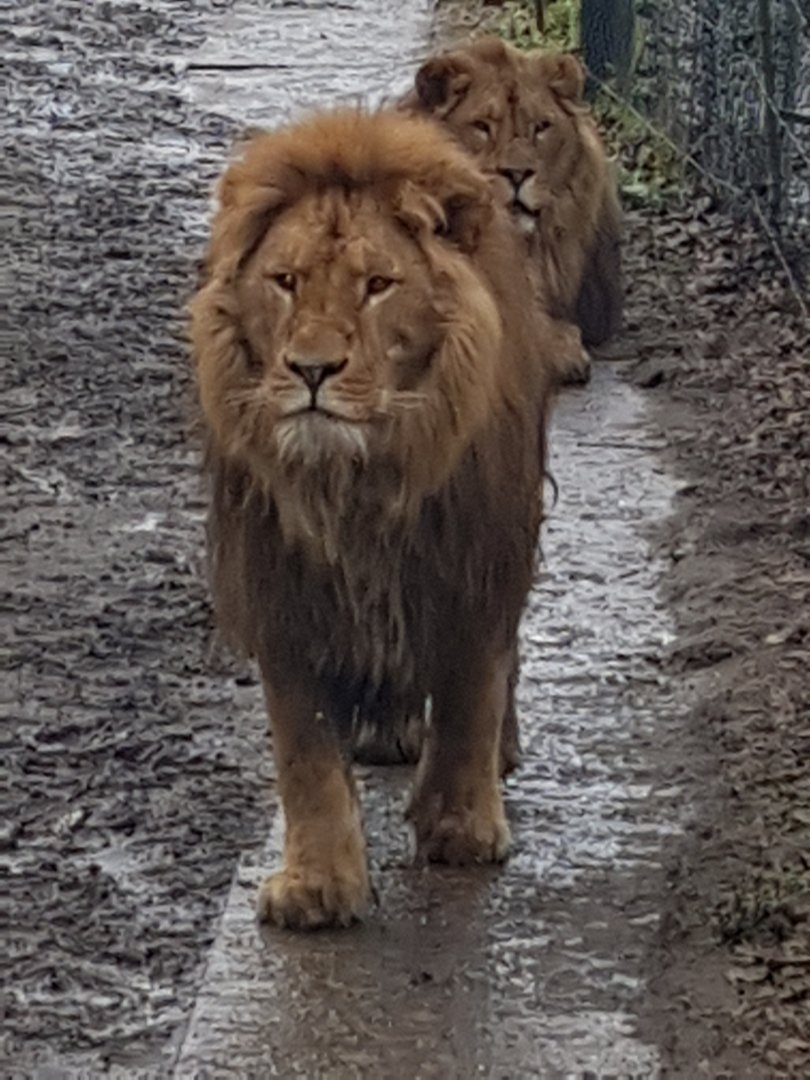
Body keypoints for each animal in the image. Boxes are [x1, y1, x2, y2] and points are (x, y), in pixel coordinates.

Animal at [190, 108, 556, 929]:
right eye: (286, 282)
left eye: (379, 286)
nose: (312, 370)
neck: (355, 481)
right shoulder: (285, 592)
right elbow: (306, 750)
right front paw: (318, 884)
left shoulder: (473, 564)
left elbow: (469, 695)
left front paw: (461, 826)